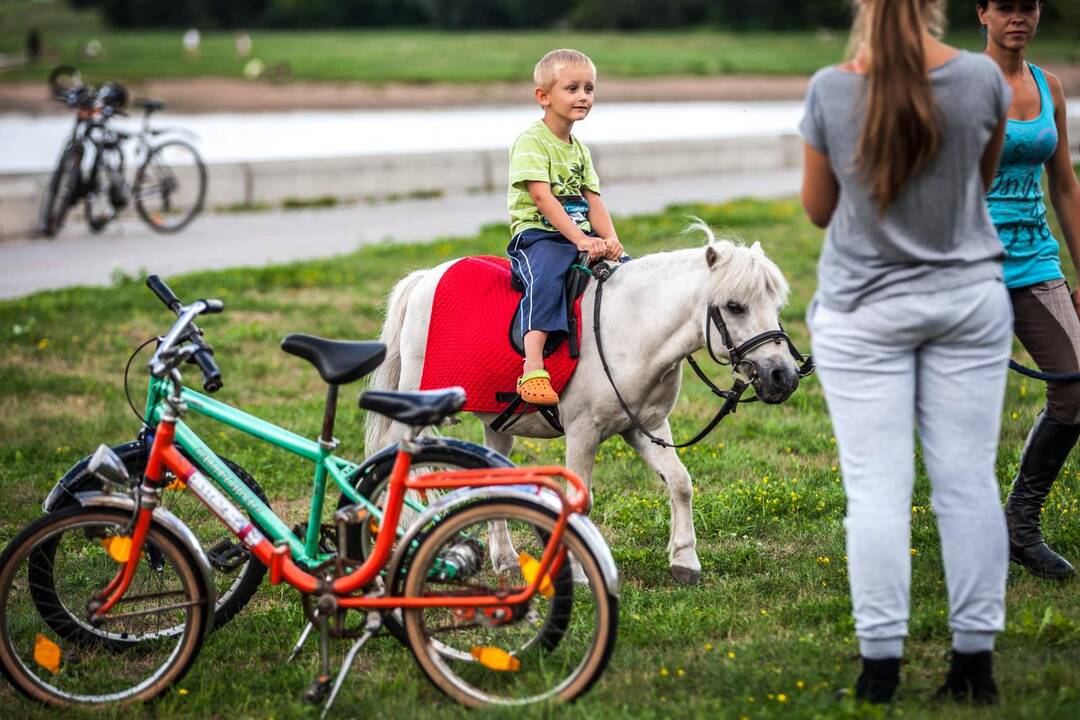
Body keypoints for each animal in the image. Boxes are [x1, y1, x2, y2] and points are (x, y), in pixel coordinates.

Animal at [369, 225, 803, 587]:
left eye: (776, 306)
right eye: (735, 306)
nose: (783, 376)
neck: (632, 327)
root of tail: (426, 278)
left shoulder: (647, 428)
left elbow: (681, 484)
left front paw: (685, 561)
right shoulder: (582, 432)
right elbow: (581, 500)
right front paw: (579, 572)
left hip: (498, 425)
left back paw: (505, 558)